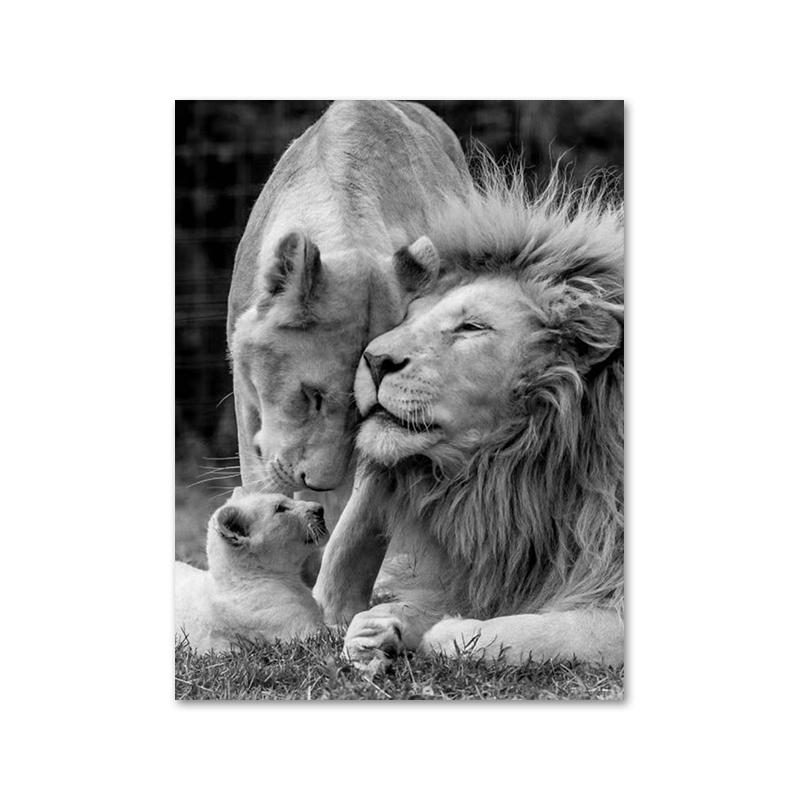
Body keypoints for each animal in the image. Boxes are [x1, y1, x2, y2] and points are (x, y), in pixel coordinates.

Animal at [313, 161, 624, 666]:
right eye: (409, 317)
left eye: (472, 327)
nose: (374, 360)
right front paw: (379, 627)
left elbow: (535, 633)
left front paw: (445, 632)